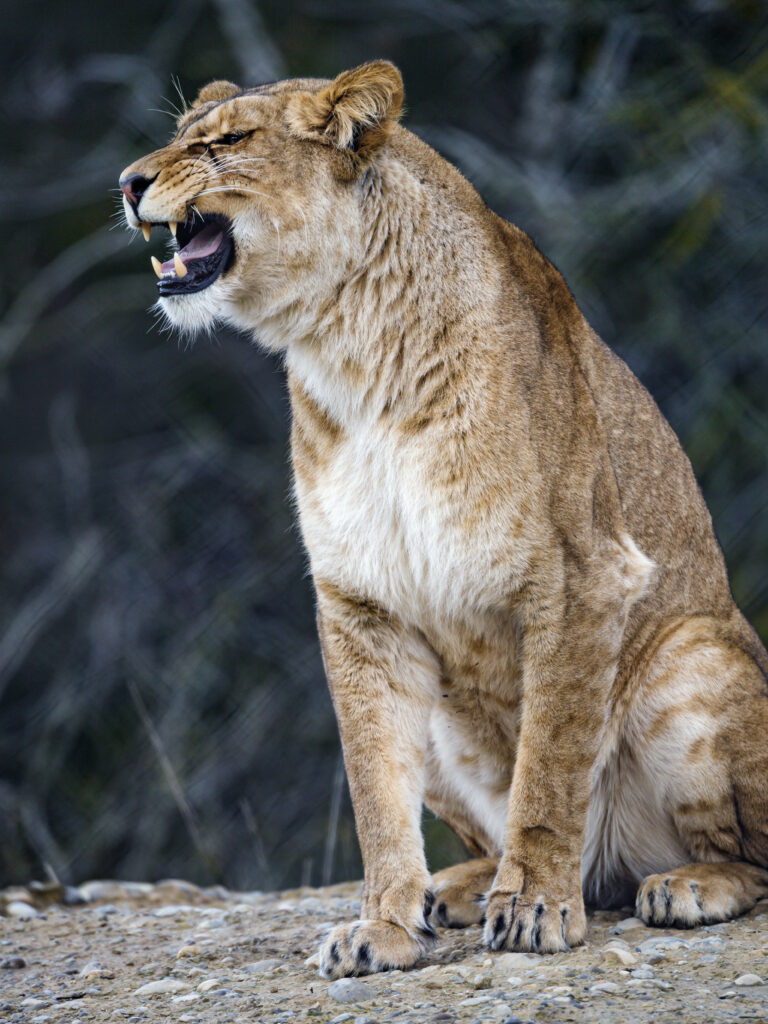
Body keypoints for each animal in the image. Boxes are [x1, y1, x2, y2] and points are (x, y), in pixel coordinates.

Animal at [119, 61, 768, 978]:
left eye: (226, 142)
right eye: (181, 134)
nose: (127, 183)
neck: (350, 348)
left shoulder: (584, 574)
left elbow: (550, 767)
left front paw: (534, 909)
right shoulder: (360, 603)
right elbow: (374, 789)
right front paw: (385, 925)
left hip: (692, 657)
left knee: (742, 859)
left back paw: (681, 886)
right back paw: (458, 888)